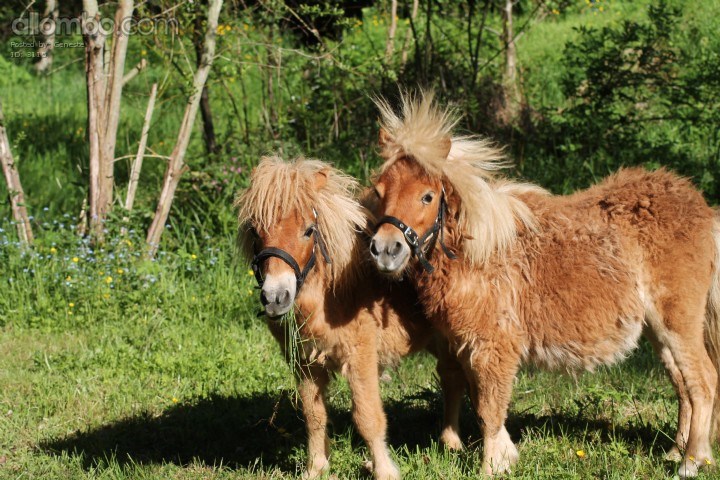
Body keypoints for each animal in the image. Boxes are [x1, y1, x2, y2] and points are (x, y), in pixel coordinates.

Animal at [235, 156, 467, 480]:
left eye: (309, 231)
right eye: (256, 231)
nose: (275, 297)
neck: (333, 292)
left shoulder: (361, 358)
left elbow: (368, 416)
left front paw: (384, 470)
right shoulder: (305, 364)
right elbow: (314, 415)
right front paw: (316, 467)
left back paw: (453, 443)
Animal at [367, 91, 720, 478]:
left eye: (427, 196)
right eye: (379, 191)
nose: (385, 250)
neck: (480, 251)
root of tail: (704, 210)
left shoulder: (493, 347)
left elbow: (489, 408)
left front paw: (491, 466)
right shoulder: (466, 346)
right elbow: (478, 399)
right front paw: (504, 455)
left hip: (678, 323)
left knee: (703, 381)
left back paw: (691, 461)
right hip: (659, 330)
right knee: (683, 384)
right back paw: (676, 451)